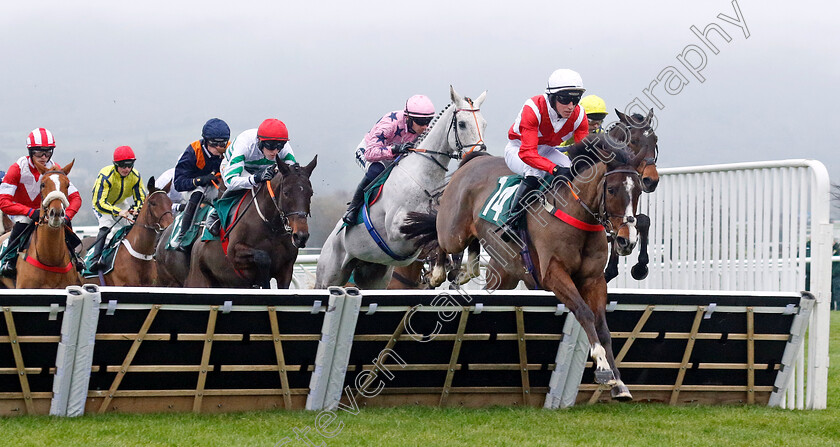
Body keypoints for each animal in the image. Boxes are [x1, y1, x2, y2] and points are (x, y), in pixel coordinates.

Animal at [183, 157, 316, 290]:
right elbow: (263, 257)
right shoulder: (234, 254)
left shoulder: (286, 269)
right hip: (199, 281)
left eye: (311, 193)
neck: (272, 228)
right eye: (286, 192)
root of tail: (196, 245)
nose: (300, 236)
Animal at [314, 86, 486, 290]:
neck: (422, 177)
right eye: (462, 124)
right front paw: (438, 273)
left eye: (484, 124)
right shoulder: (396, 229)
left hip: (375, 276)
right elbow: (429, 230)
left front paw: (459, 271)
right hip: (329, 276)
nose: (480, 155)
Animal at [400, 134, 644, 402]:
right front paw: (601, 366)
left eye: (639, 190)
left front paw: (619, 383)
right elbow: (584, 312)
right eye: (611, 189)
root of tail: (472, 161)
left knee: (476, 260)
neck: (576, 214)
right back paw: (437, 273)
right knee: (441, 238)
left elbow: (603, 327)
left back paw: (467, 270)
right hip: (454, 233)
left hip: (504, 276)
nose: (627, 241)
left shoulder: (594, 280)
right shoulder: (553, 274)